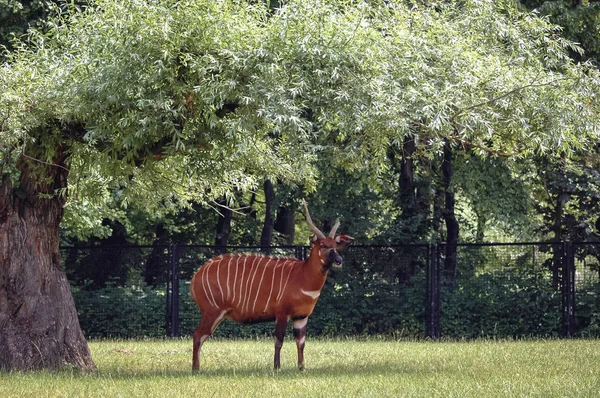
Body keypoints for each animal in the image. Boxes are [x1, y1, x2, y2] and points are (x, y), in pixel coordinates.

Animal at [190, 201, 354, 372]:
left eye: (335, 245)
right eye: (322, 245)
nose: (339, 260)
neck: (302, 276)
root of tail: (196, 277)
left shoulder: (301, 317)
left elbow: (301, 343)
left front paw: (302, 368)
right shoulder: (282, 313)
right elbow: (279, 341)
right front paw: (277, 368)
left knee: (200, 336)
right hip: (212, 312)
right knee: (198, 335)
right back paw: (195, 369)